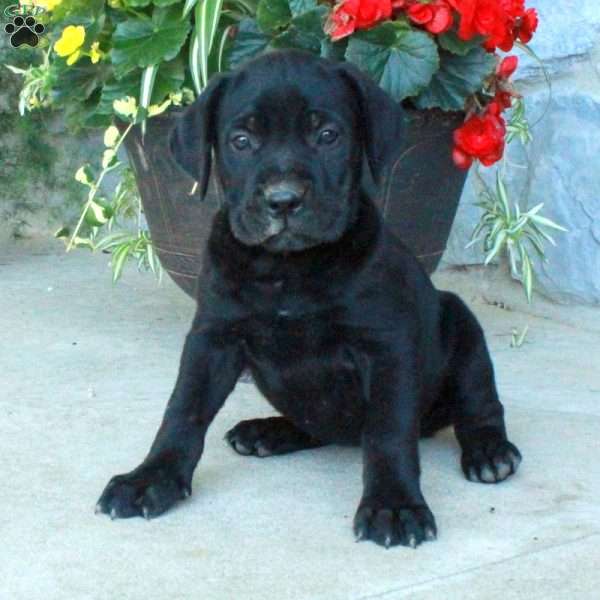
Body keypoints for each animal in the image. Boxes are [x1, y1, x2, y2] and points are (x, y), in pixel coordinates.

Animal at [97, 49, 520, 548]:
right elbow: (183, 409)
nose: (283, 201)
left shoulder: (386, 347)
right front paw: (150, 478)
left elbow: (389, 430)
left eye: (327, 136)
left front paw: (394, 505)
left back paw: (490, 451)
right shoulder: (213, 338)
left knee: (479, 402)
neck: (287, 268)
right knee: (315, 424)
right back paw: (268, 431)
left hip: (462, 327)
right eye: (241, 141)